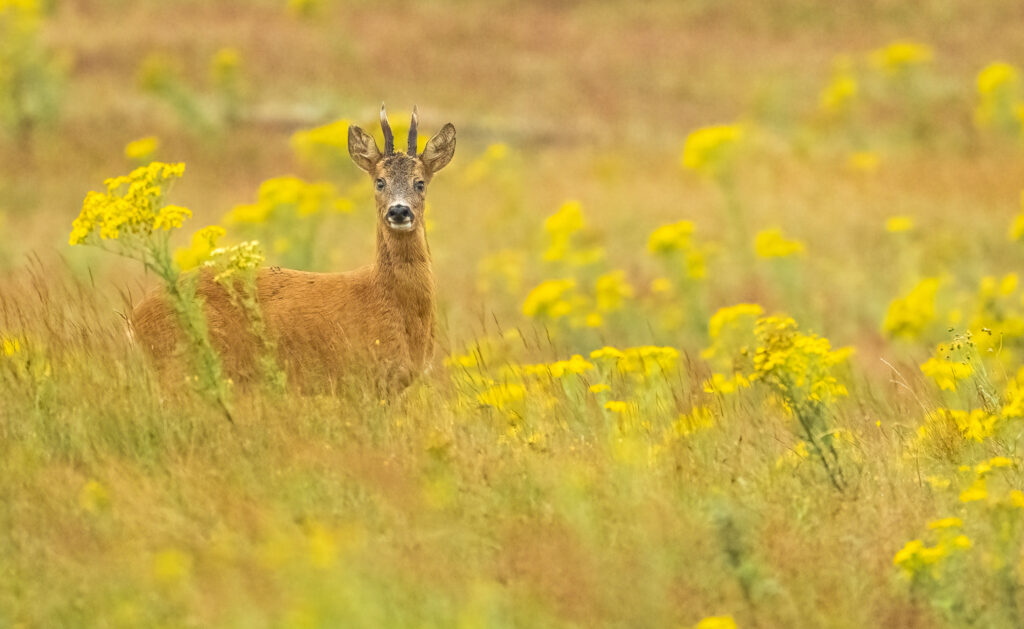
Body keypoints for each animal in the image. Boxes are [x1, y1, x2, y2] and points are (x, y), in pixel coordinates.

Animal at [131, 108, 456, 391]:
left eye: (420, 183)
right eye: (379, 182)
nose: (399, 211)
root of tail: (135, 317)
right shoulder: (361, 377)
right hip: (178, 369)